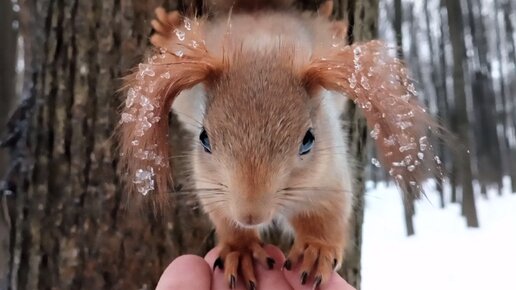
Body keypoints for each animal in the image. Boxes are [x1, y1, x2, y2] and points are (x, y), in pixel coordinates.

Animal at [118, 1, 444, 288]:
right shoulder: (210, 184)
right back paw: (169, 30)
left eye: (308, 140)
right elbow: (223, 217)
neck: (260, 50)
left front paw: (317, 250)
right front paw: (241, 249)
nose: (250, 215)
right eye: (204, 138)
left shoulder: (330, 176)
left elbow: (328, 214)